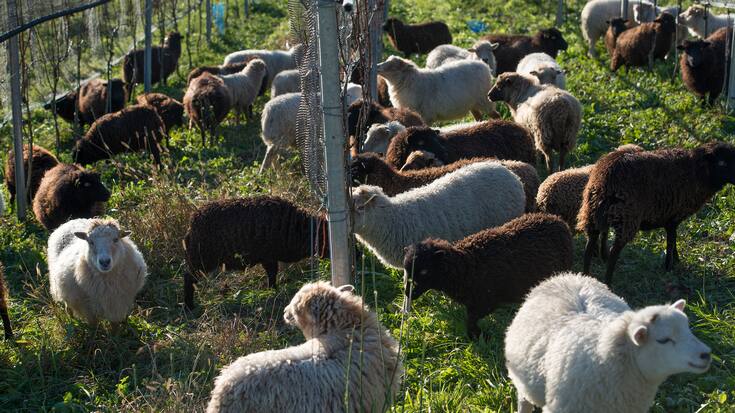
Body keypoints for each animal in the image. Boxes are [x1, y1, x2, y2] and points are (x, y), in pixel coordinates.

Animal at [183, 196, 329, 310]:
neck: (301, 229)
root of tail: (191, 225)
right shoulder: (268, 256)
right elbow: (272, 273)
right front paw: (273, 290)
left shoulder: (270, 257)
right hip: (201, 258)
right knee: (188, 277)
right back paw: (189, 306)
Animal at [404, 213, 572, 337]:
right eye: (406, 270)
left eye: (424, 271)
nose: (407, 293)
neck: (466, 267)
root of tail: (557, 219)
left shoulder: (485, 302)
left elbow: (471, 320)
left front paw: (476, 336)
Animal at [506, 272, 711, 413]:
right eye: (663, 340)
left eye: (688, 328)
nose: (706, 355)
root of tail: (566, 275)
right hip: (523, 382)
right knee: (524, 400)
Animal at [578, 142, 735, 285]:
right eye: (722, 162)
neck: (698, 173)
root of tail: (604, 183)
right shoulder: (673, 217)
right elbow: (671, 242)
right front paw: (669, 266)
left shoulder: (670, 219)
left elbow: (673, 241)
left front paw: (675, 261)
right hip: (627, 218)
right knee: (613, 252)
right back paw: (608, 283)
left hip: (591, 214)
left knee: (589, 247)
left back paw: (586, 276)